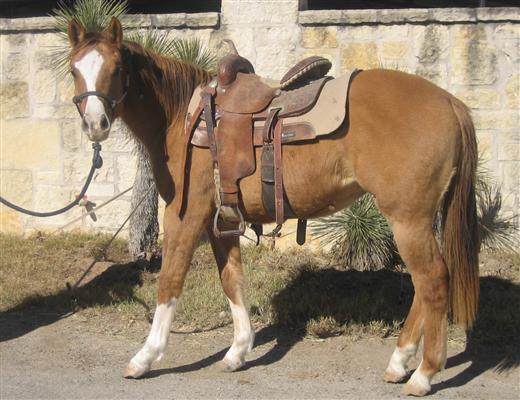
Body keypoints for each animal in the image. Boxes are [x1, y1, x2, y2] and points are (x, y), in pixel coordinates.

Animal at [68, 17, 480, 396]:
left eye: (116, 68)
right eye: (74, 69)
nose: (95, 123)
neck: (181, 117)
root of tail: (450, 102)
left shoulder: (186, 216)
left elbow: (169, 281)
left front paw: (145, 357)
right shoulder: (221, 220)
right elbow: (232, 280)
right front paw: (237, 351)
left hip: (407, 219)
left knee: (433, 281)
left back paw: (424, 374)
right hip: (418, 220)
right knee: (426, 284)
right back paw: (399, 362)